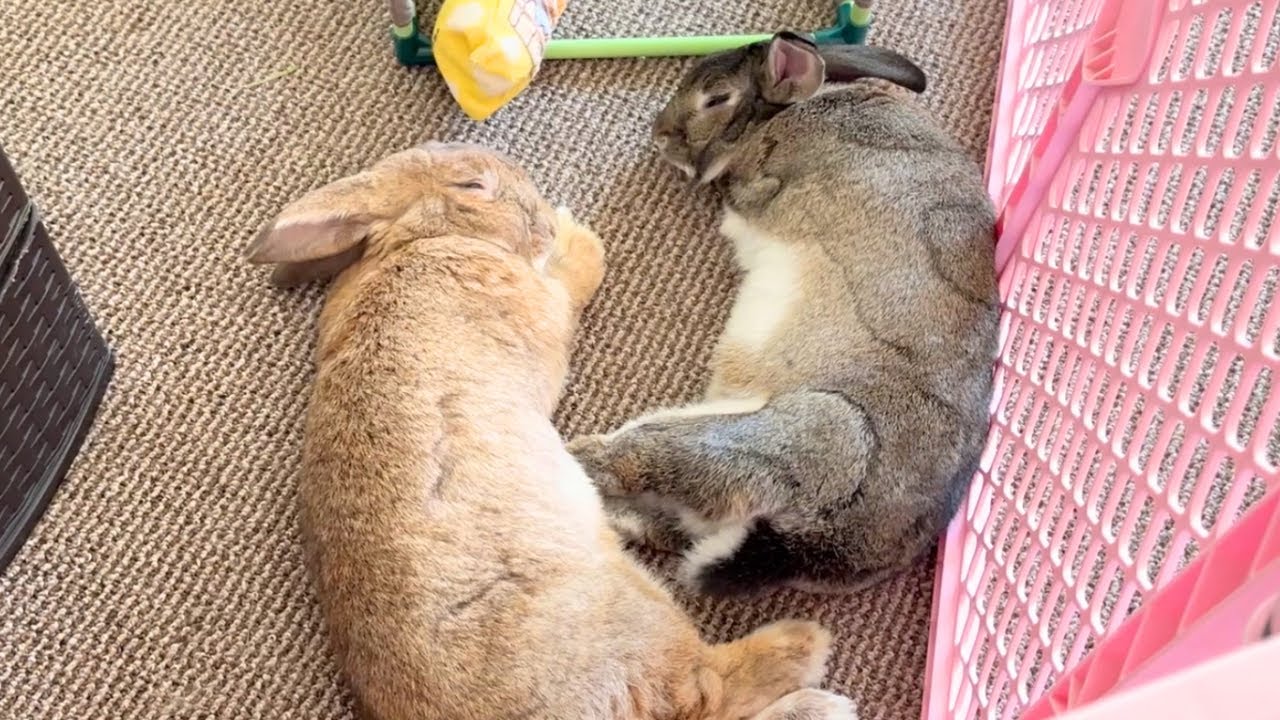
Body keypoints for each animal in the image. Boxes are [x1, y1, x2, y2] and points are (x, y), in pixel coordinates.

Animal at [245, 142, 858, 720]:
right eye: (473, 186)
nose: (542, 213)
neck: (425, 239)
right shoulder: (545, 301)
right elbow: (573, 279)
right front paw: (577, 236)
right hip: (633, 610)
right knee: (707, 692)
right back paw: (808, 654)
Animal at [567, 33, 999, 597]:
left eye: (716, 98)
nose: (659, 135)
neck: (785, 111)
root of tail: (817, 545)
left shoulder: (763, 184)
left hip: (774, 437)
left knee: (621, 466)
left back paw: (565, 452)